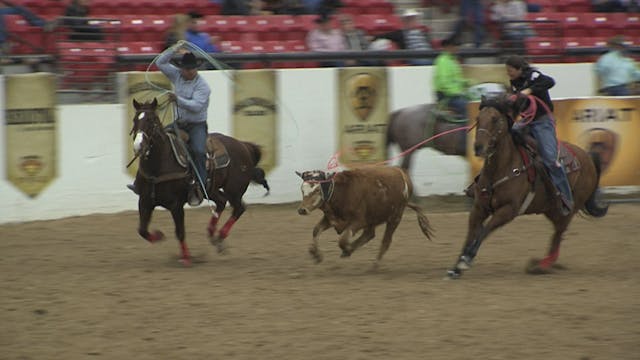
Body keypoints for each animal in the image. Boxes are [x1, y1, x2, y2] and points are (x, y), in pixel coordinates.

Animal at [130, 97, 270, 264]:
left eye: (152, 120)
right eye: (134, 120)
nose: (139, 146)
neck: (158, 166)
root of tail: (244, 145)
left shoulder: (176, 204)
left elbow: (180, 232)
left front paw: (186, 258)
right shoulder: (144, 201)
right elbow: (142, 230)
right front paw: (158, 236)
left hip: (234, 190)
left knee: (238, 208)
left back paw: (220, 236)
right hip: (211, 189)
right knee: (222, 202)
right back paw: (212, 233)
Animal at [298, 165, 432, 264]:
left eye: (317, 190)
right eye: (302, 190)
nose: (302, 210)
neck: (342, 192)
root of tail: (402, 173)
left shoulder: (359, 221)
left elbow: (343, 240)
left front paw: (348, 250)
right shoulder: (331, 219)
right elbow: (316, 230)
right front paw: (316, 255)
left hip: (395, 217)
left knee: (385, 241)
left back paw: (374, 265)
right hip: (373, 218)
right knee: (369, 234)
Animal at [448, 95, 608, 278]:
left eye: (495, 119)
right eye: (477, 119)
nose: (478, 147)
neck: (503, 167)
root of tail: (588, 157)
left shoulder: (508, 210)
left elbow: (484, 231)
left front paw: (466, 259)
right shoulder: (478, 208)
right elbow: (470, 235)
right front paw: (456, 267)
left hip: (569, 210)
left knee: (557, 236)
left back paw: (541, 266)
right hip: (551, 209)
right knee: (556, 236)